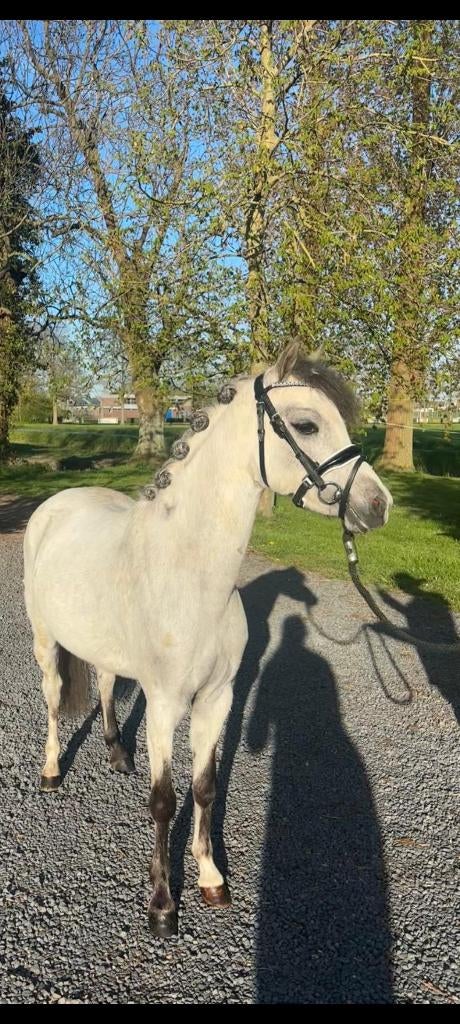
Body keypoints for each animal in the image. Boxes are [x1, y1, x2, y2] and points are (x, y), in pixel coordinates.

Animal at [23, 340, 392, 937]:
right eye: (307, 424)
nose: (378, 505)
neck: (192, 576)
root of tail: (58, 503)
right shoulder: (165, 704)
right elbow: (164, 801)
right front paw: (162, 905)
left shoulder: (217, 699)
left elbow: (204, 789)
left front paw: (211, 879)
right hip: (44, 641)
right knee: (55, 699)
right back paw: (53, 771)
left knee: (103, 680)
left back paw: (117, 753)